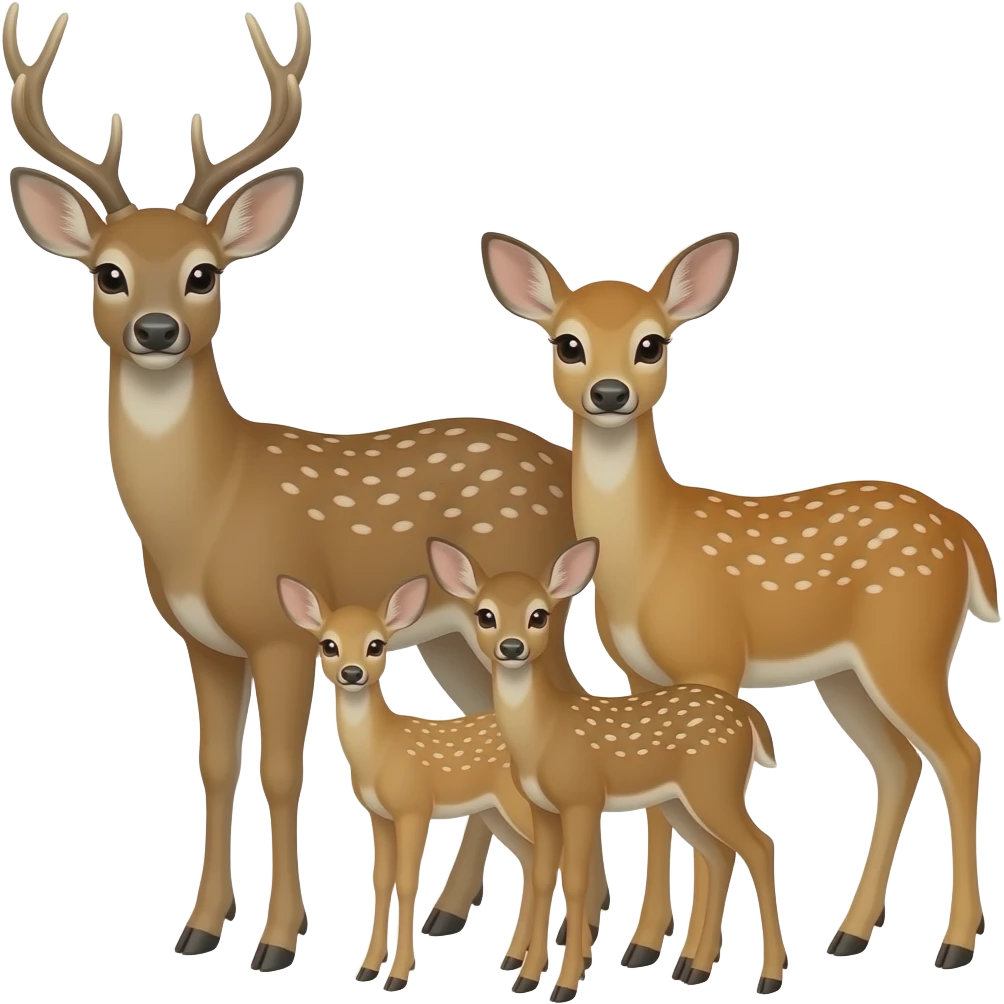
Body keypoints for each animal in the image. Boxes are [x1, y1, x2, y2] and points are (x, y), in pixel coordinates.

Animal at [275, 573, 604, 990]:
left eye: (376, 644)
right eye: (328, 644)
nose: (352, 673)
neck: (381, 750)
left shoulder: (414, 807)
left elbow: (405, 883)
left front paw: (399, 974)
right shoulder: (379, 815)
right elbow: (380, 881)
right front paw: (368, 968)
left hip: (523, 805)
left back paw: (571, 963)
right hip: (500, 810)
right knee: (533, 862)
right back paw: (517, 959)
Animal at [427, 535, 788, 999]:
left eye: (539, 614)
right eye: (485, 614)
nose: (512, 647)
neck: (544, 734)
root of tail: (749, 716)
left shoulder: (582, 797)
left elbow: (576, 881)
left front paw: (565, 984)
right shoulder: (543, 807)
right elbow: (544, 878)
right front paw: (527, 977)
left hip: (714, 787)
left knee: (760, 846)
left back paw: (769, 975)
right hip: (682, 800)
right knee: (720, 853)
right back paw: (694, 970)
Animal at [479, 229, 999, 974]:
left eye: (651, 343)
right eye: (568, 343)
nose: (609, 393)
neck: (653, 550)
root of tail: (962, 531)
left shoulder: (714, 657)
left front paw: (696, 955)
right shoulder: (640, 678)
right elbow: (657, 805)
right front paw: (645, 945)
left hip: (908, 645)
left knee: (959, 755)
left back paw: (954, 942)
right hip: (845, 673)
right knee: (898, 763)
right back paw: (849, 933)